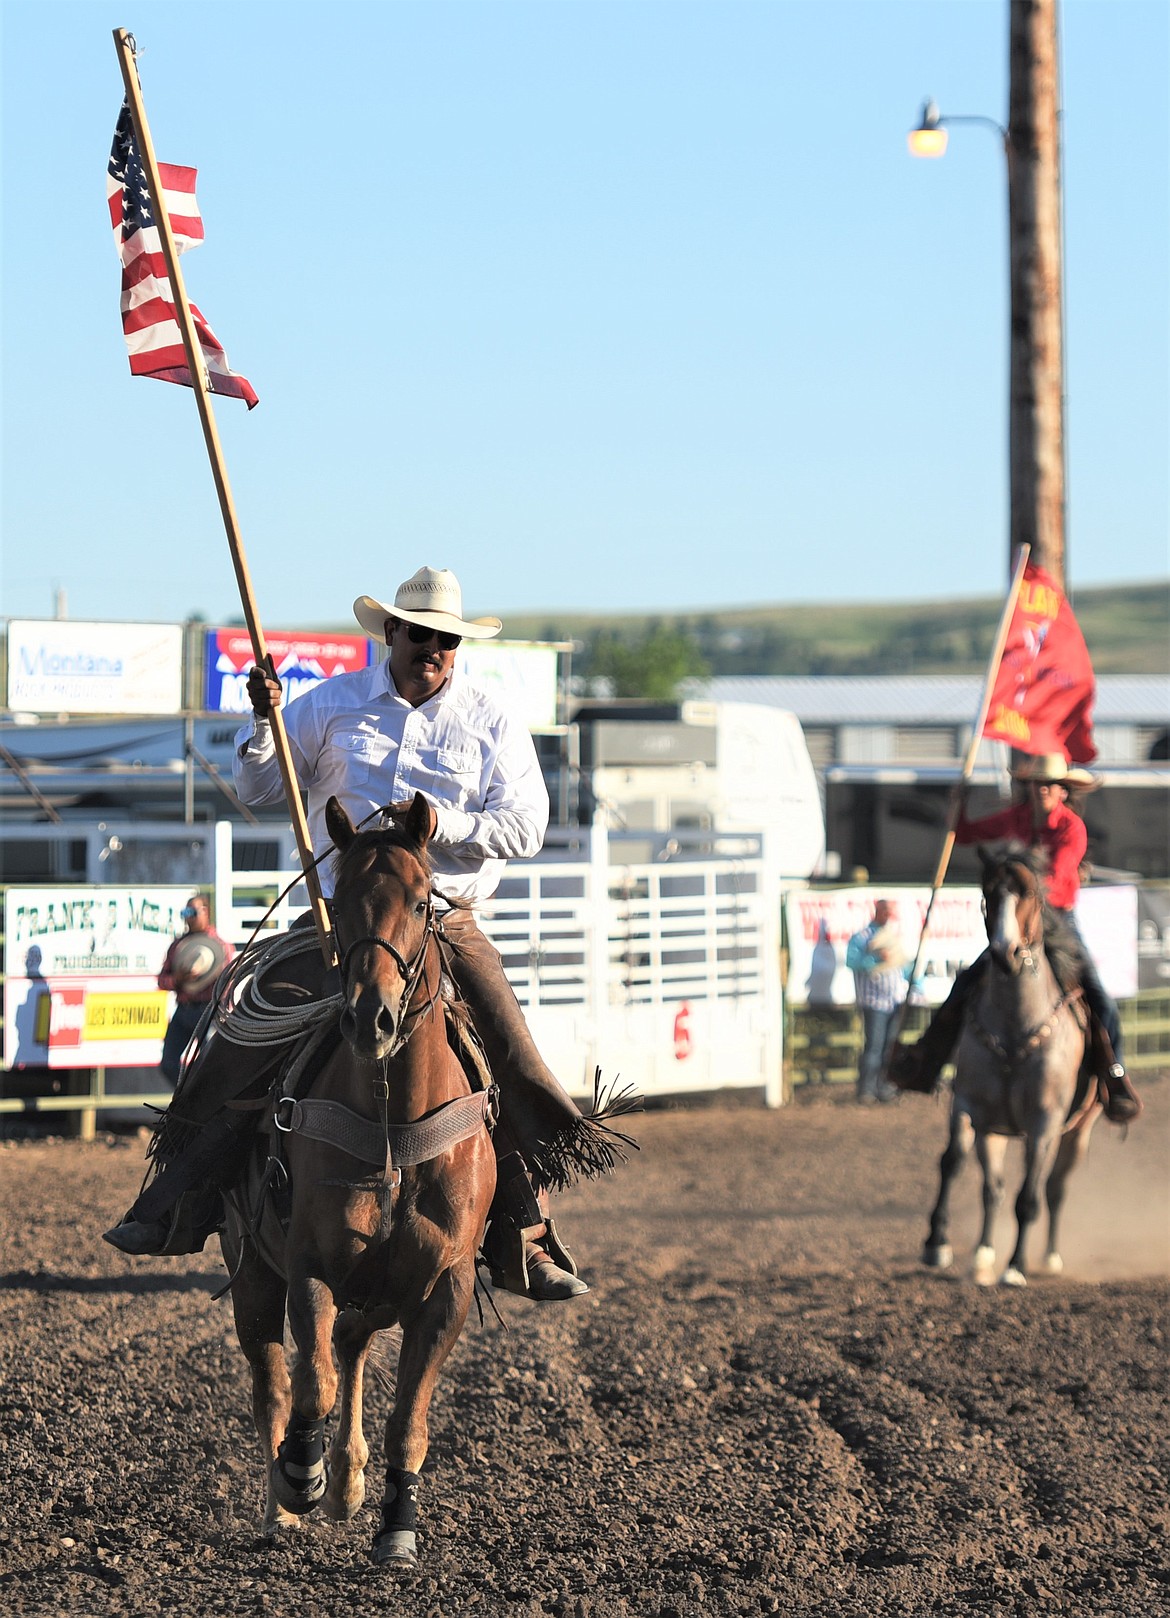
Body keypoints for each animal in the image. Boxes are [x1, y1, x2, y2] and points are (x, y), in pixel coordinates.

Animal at [220, 796, 498, 1566]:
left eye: (422, 899)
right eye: (337, 901)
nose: (369, 1017)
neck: (392, 1125)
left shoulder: (444, 1289)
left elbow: (408, 1416)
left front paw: (396, 1525)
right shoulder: (308, 1266)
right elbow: (308, 1383)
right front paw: (300, 1472)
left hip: (378, 1289)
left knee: (350, 1346)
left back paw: (348, 1482)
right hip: (252, 1270)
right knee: (273, 1378)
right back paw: (288, 1503)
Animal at [919, 847, 1100, 1287]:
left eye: (1031, 893)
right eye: (988, 894)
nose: (1006, 953)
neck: (1016, 1026)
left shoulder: (1044, 1123)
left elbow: (1029, 1198)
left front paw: (1016, 1267)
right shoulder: (968, 1106)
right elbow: (952, 1162)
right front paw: (936, 1244)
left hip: (1078, 1130)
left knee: (1053, 1189)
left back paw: (1048, 1257)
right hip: (995, 1131)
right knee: (993, 1188)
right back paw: (983, 1254)